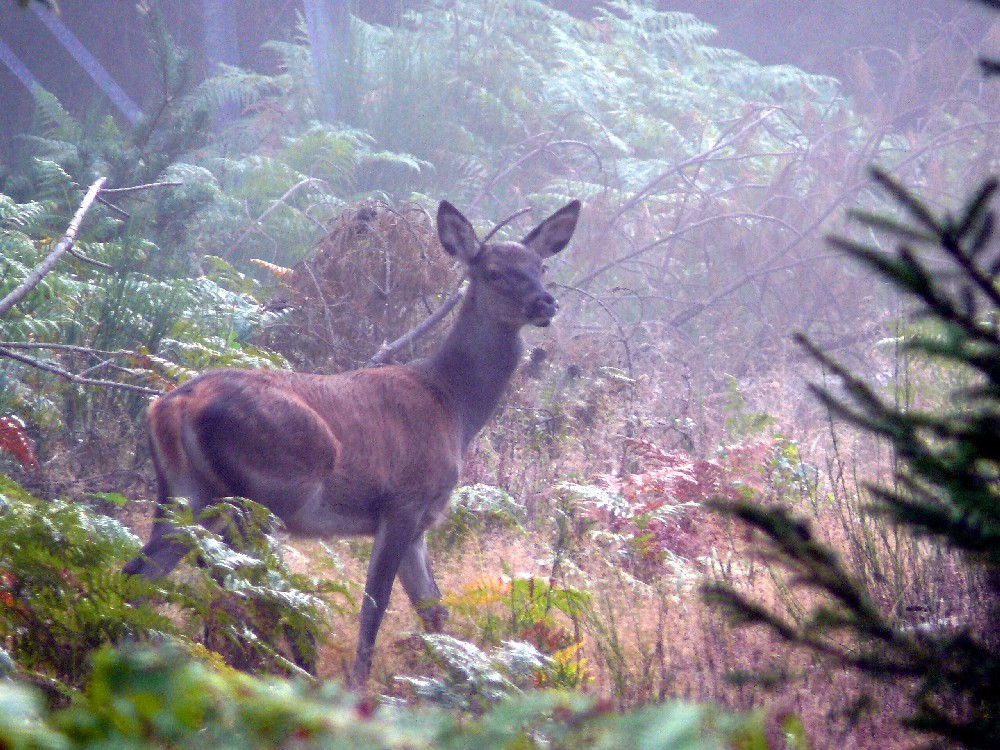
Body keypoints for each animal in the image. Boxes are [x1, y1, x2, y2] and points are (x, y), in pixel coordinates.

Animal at [126, 198, 584, 688]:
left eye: (541, 266)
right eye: (495, 272)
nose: (545, 301)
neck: (455, 407)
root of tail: (170, 407)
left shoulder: (420, 522)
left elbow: (435, 611)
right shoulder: (402, 501)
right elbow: (373, 610)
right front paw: (359, 687)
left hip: (183, 492)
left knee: (142, 571)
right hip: (260, 493)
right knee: (238, 579)